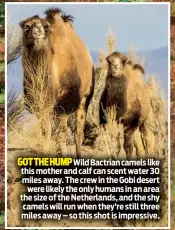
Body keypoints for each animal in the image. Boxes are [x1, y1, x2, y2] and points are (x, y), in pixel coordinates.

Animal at [19, 7, 94, 158]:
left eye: (46, 26)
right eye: (26, 26)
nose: (37, 29)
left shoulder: (66, 99)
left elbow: (62, 133)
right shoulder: (40, 103)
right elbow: (45, 130)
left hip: (85, 97)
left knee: (78, 132)